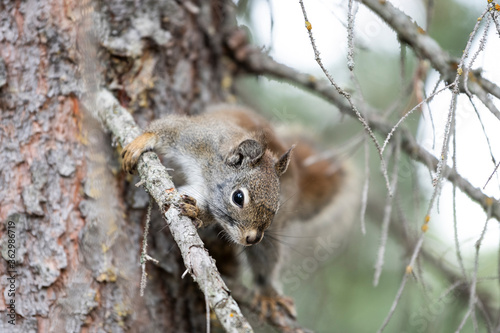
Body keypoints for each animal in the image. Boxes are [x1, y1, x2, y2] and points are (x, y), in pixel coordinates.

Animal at [121, 104, 356, 320]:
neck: (207, 174)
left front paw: (196, 213)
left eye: (277, 206)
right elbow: (168, 127)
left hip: (269, 242)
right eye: (238, 197)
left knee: (266, 262)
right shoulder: (194, 138)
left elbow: (208, 212)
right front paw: (142, 141)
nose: (252, 238)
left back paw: (268, 294)